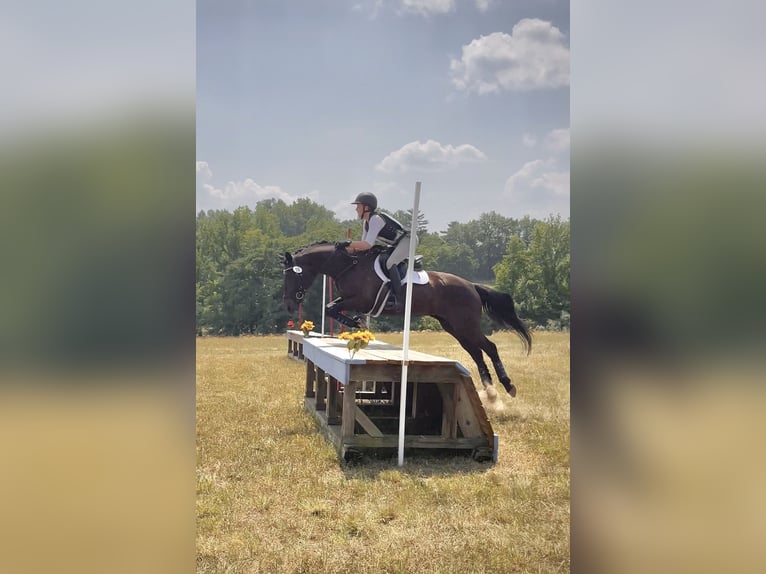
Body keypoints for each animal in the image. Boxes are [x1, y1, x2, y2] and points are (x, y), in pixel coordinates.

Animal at [282, 241, 536, 398]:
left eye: (292, 276)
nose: (289, 305)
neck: (348, 266)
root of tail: (471, 285)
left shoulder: (360, 300)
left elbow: (332, 308)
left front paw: (357, 324)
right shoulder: (349, 299)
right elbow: (331, 308)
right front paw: (357, 323)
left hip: (466, 324)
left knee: (489, 347)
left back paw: (507, 385)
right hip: (454, 326)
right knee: (475, 351)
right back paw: (490, 391)